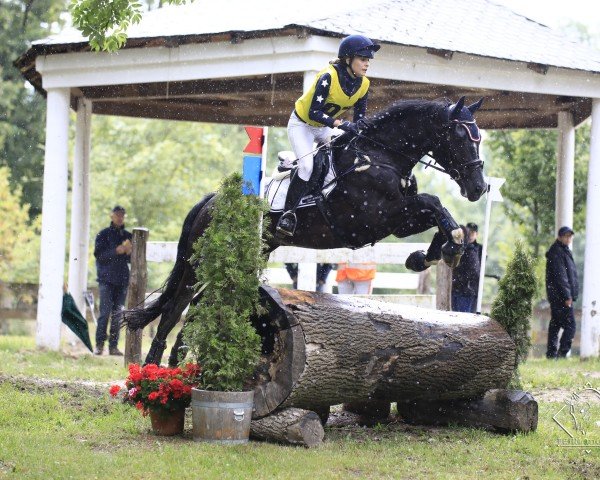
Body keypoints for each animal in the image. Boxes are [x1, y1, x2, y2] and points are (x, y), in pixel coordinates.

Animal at [122, 98, 488, 368]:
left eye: (479, 137)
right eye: (460, 136)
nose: (478, 188)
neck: (380, 155)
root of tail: (211, 200)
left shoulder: (396, 221)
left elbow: (437, 212)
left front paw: (430, 255)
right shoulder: (374, 219)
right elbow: (433, 203)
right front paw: (448, 249)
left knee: (199, 304)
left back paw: (177, 361)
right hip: (199, 263)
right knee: (176, 307)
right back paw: (151, 368)